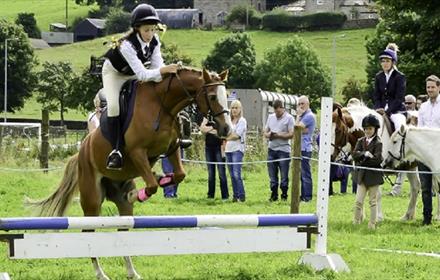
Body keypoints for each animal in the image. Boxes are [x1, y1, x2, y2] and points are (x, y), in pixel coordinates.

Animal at [30, 68, 230, 280]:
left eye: (226, 96)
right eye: (212, 97)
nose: (226, 129)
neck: (161, 104)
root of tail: (81, 150)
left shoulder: (172, 148)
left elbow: (179, 175)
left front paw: (159, 177)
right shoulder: (137, 152)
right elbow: (151, 185)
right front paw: (138, 193)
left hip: (121, 201)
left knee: (123, 229)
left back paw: (131, 271)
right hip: (92, 199)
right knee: (88, 232)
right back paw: (101, 273)